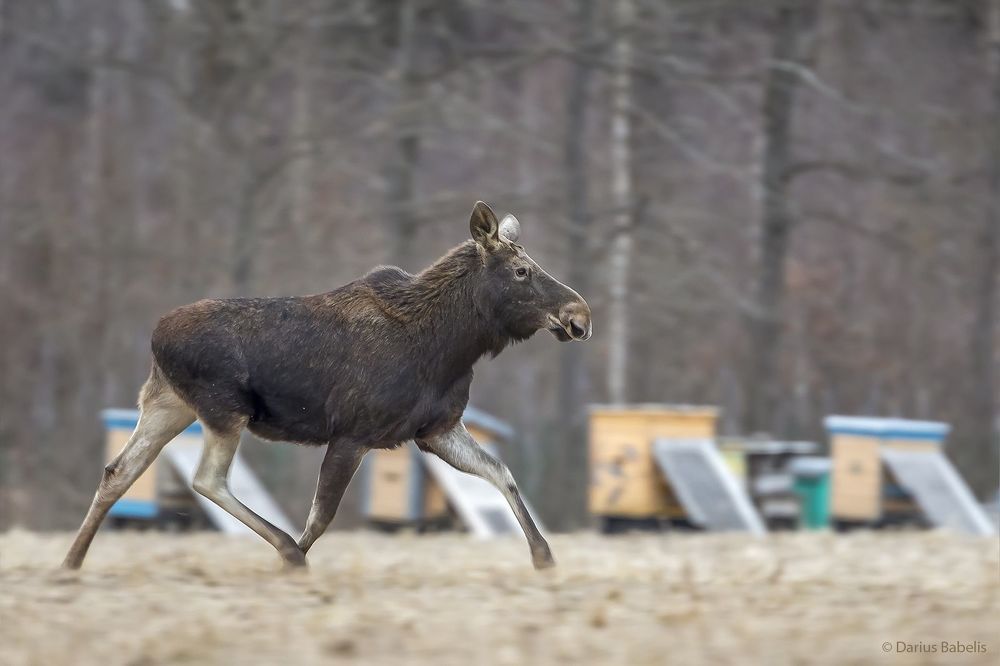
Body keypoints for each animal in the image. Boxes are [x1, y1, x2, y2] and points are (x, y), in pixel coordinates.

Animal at [63, 201, 592, 571]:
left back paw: (70, 563)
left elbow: (502, 472)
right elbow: (321, 515)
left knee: (119, 472)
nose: (580, 315)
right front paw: (292, 559)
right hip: (224, 409)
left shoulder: (436, 429)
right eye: (521, 270)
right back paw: (286, 551)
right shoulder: (354, 433)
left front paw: (544, 556)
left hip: (168, 405)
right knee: (205, 478)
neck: (450, 345)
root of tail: (155, 337)